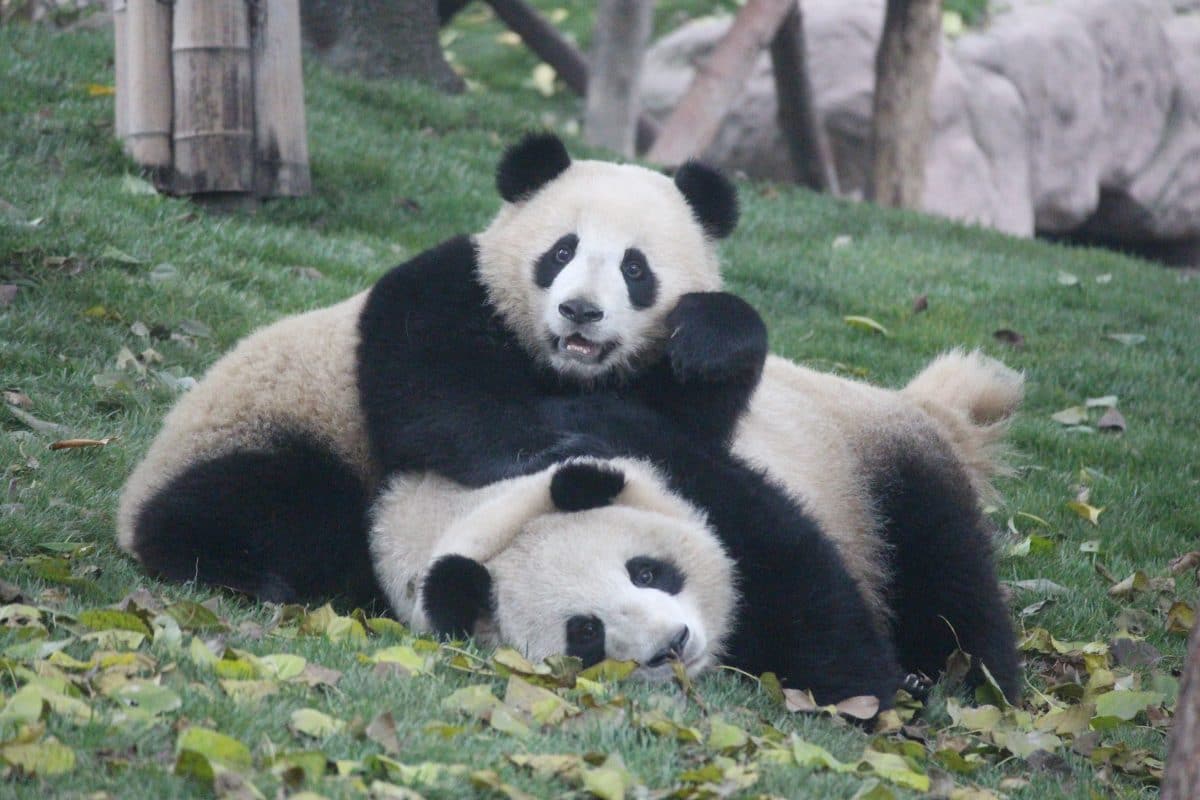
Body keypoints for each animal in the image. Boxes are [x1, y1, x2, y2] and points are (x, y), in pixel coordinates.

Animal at [367, 350, 1022, 705]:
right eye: (584, 632)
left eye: (646, 571)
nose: (673, 645)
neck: (469, 506)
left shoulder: (662, 459)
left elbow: (797, 576)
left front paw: (856, 693)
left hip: (870, 469)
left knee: (945, 574)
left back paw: (969, 682)